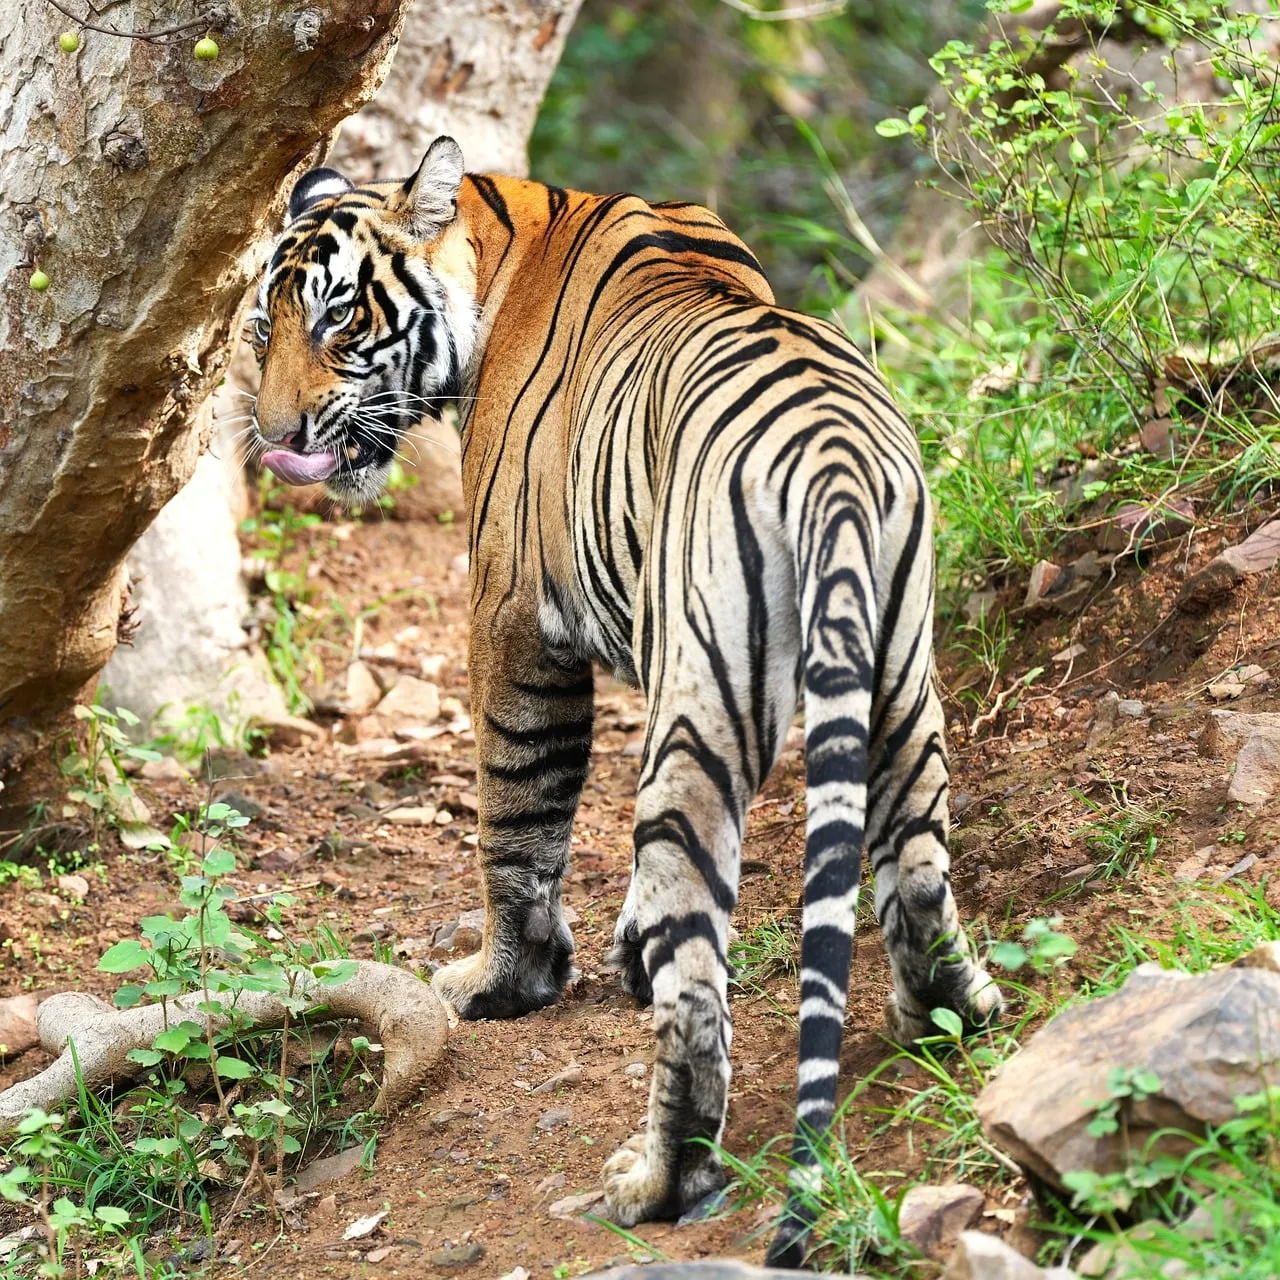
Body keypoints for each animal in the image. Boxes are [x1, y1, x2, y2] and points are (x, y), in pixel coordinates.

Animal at [248, 135, 1002, 1265]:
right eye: (264, 326)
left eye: (338, 318)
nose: (275, 434)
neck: (500, 236)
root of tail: (829, 459)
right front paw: (617, 948)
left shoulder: (513, 615)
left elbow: (515, 817)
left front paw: (503, 982)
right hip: (898, 681)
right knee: (914, 867)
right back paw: (947, 1018)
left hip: (714, 706)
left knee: (696, 993)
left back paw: (654, 1180)